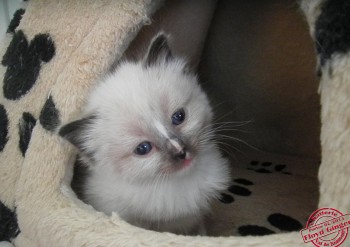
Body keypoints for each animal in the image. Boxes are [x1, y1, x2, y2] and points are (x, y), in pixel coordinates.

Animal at [59, 33, 231, 235]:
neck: (181, 182)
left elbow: (201, 231)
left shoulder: (196, 218)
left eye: (179, 117)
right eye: (143, 148)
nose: (181, 152)